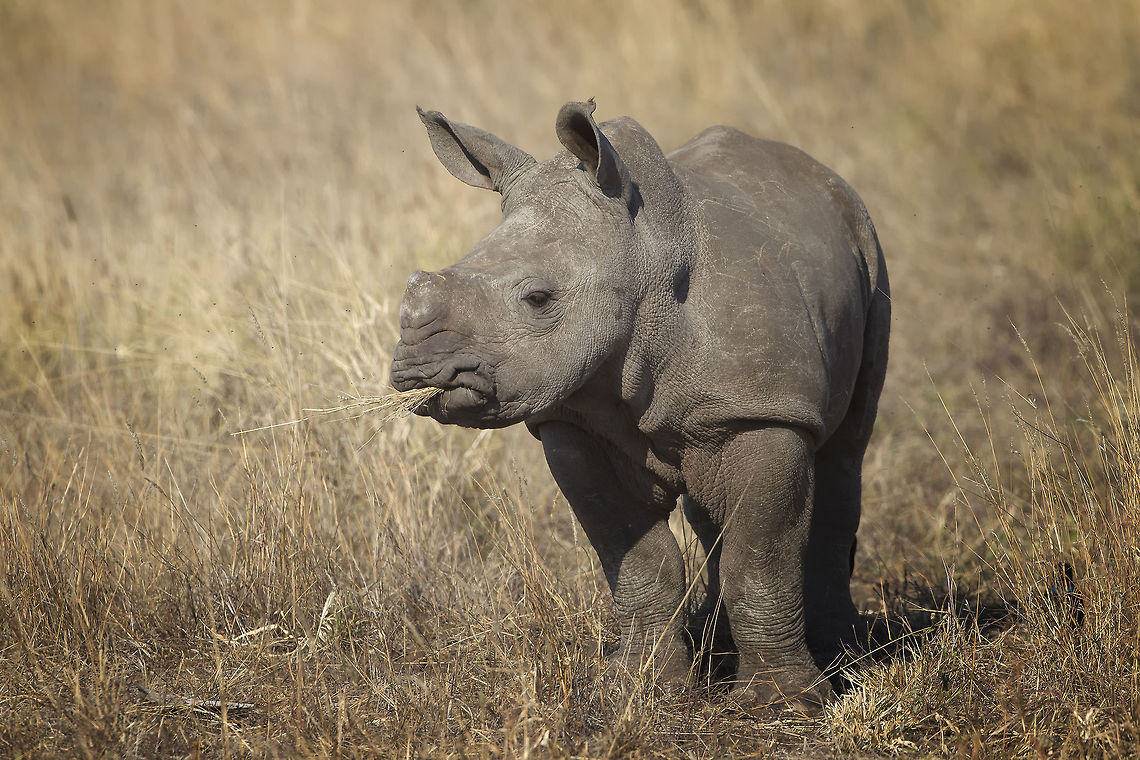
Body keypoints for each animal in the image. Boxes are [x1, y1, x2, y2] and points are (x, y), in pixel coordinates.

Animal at [390, 99, 890, 712]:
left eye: (538, 298)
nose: (415, 368)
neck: (640, 255)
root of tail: (824, 178)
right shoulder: (573, 423)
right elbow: (636, 555)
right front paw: (642, 685)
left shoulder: (764, 409)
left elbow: (761, 553)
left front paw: (784, 703)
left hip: (869, 252)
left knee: (845, 453)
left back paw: (846, 652)